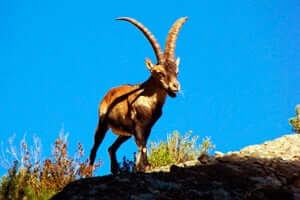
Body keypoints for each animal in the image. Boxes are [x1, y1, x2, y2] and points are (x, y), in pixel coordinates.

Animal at [89, 16, 188, 173]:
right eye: (159, 73)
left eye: (176, 72)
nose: (175, 87)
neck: (149, 100)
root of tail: (109, 93)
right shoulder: (138, 124)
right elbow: (142, 145)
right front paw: (145, 166)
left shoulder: (148, 126)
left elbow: (144, 144)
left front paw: (142, 166)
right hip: (102, 123)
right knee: (94, 149)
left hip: (125, 133)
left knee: (111, 148)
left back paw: (115, 169)